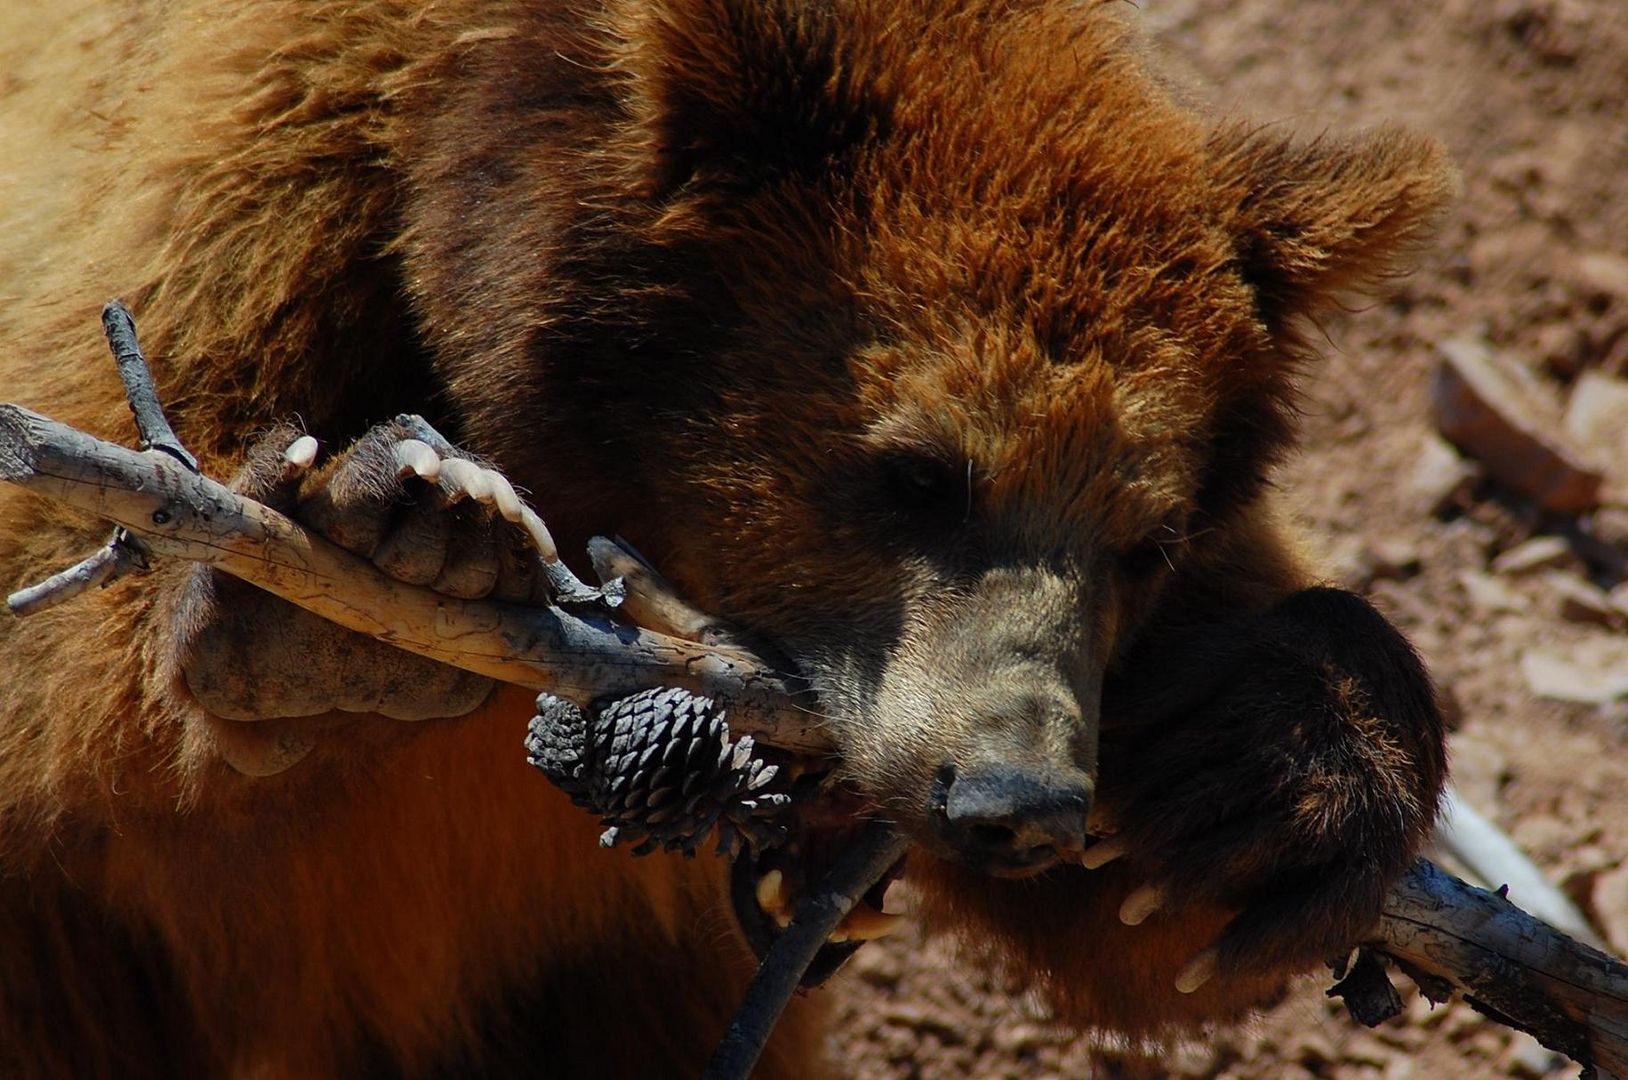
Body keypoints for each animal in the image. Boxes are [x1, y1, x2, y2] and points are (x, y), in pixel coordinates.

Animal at [0, 0, 1452, 1075]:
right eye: (916, 473)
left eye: (1146, 536)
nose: (1014, 801)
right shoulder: (245, 210)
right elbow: (77, 669)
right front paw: (367, 559)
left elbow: (1153, 929)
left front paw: (1267, 768)